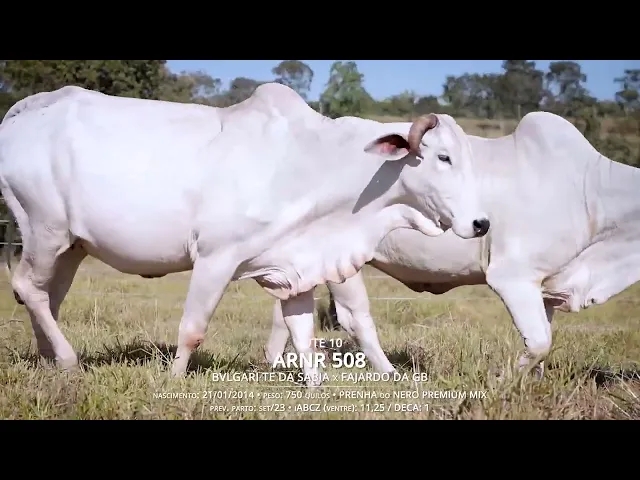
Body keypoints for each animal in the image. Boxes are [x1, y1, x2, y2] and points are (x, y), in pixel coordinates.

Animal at [0, 83, 489, 387]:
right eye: (443, 157)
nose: (481, 223)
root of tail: (27, 113)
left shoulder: (296, 265)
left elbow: (302, 333)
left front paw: (316, 385)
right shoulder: (215, 257)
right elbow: (193, 329)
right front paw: (173, 380)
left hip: (71, 246)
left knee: (49, 297)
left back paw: (49, 361)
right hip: (43, 229)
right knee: (28, 287)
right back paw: (67, 361)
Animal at [266, 111, 640, 379]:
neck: (590, 191)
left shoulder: (545, 286)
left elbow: (543, 344)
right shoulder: (513, 277)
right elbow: (539, 344)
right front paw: (501, 380)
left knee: (286, 309)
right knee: (353, 318)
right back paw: (389, 374)